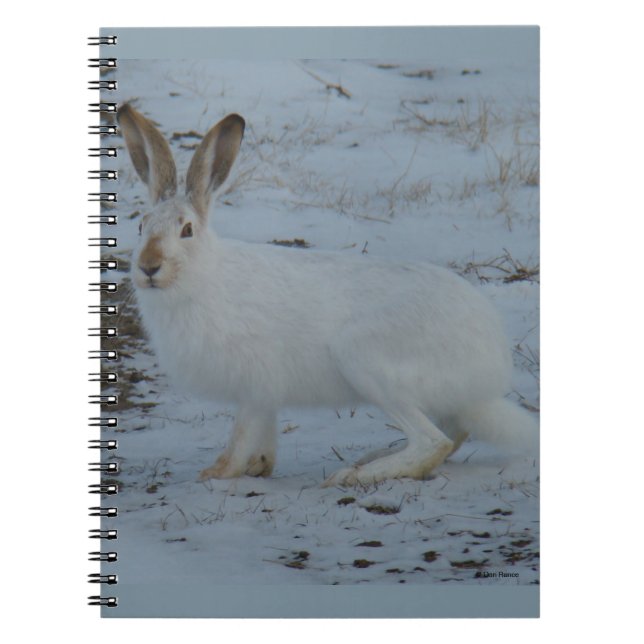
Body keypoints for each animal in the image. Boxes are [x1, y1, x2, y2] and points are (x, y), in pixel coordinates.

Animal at [117, 103, 539, 487]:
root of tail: (490, 368)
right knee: (453, 435)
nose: (149, 267)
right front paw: (260, 466)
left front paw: (219, 473)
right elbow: (263, 434)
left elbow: (242, 433)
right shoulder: (264, 394)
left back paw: (354, 475)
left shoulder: (255, 382)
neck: (203, 275)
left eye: (186, 230)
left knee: (433, 443)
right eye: (140, 226)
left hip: (367, 362)